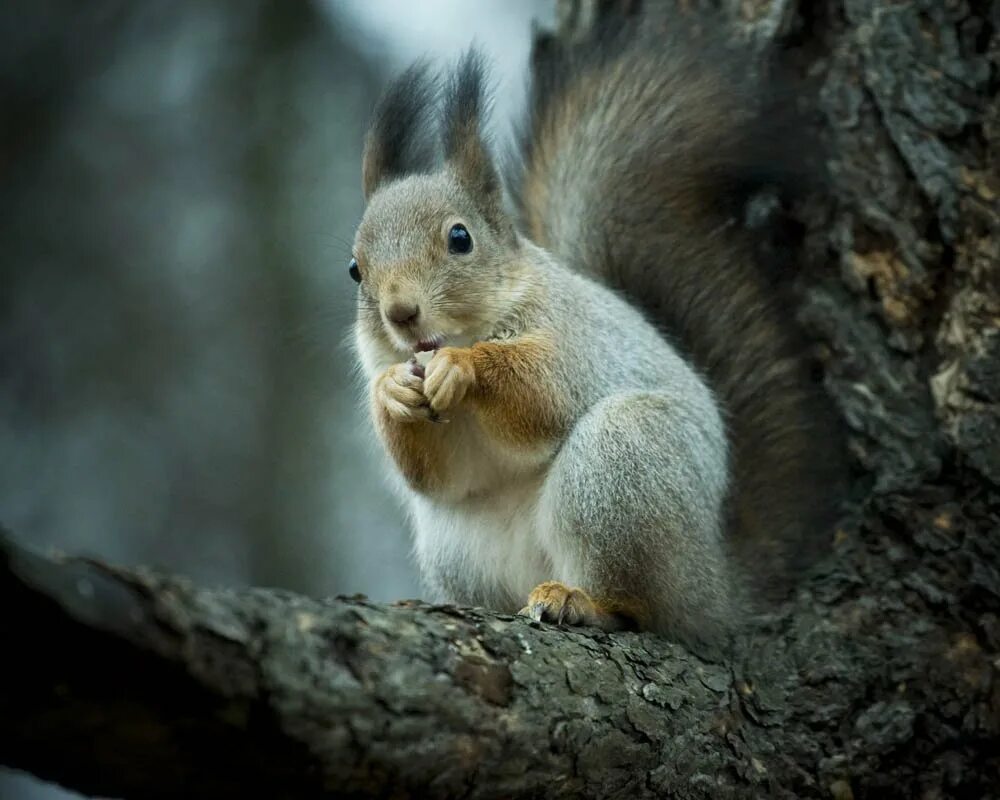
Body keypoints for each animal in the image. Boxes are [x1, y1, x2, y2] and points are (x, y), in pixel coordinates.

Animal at [348, 9, 840, 648]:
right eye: (355, 269)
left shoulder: (574, 338)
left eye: (460, 238)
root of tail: (715, 587)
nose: (401, 314)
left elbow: (543, 393)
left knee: (641, 608)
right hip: (458, 544)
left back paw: (582, 602)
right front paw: (390, 393)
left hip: (620, 465)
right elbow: (435, 473)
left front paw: (466, 366)